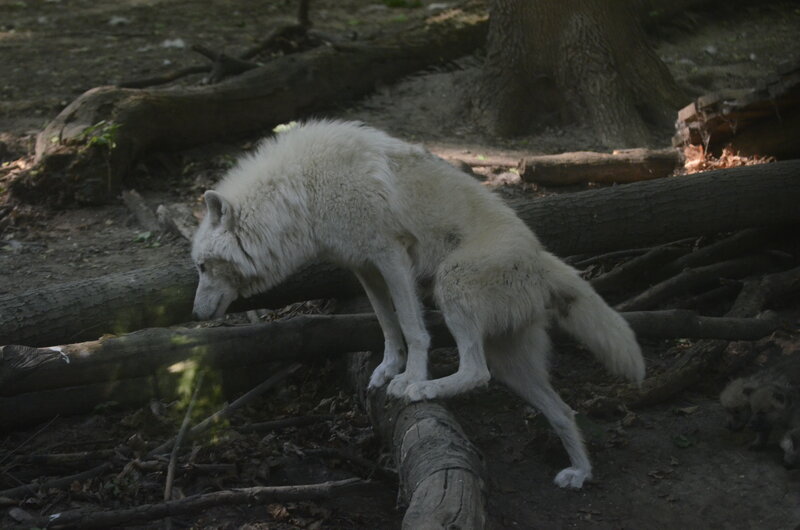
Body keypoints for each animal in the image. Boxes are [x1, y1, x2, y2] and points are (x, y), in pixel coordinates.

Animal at [191, 120, 645, 488]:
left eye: (201, 266)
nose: (195, 314)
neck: (301, 192)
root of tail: (541, 261)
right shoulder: (364, 267)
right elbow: (386, 323)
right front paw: (387, 369)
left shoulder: (391, 255)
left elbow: (413, 327)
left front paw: (409, 377)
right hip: (513, 366)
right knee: (563, 411)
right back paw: (580, 473)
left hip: (450, 283)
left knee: (476, 372)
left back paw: (426, 389)